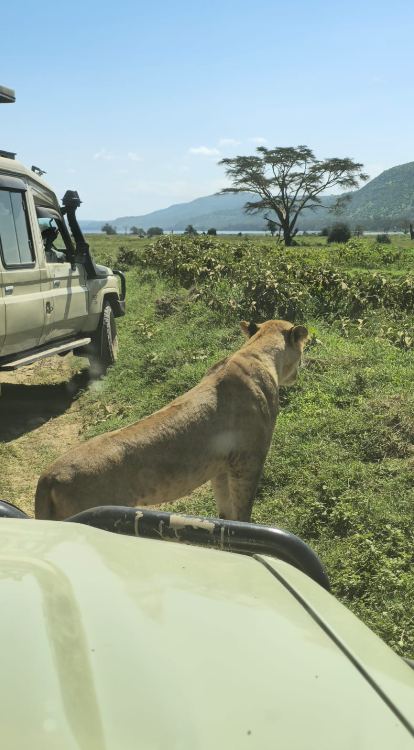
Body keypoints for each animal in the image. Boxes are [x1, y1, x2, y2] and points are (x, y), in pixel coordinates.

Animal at [35, 319, 308, 522]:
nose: (300, 372)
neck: (256, 352)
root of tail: (48, 477)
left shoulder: (221, 466)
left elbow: (225, 508)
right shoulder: (248, 461)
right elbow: (242, 509)